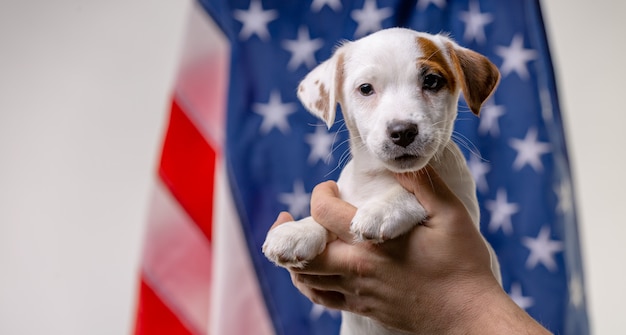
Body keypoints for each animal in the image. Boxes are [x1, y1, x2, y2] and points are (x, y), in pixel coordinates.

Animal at [260, 28, 500, 335]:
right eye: (365, 89)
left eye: (432, 81)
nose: (403, 131)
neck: (381, 177)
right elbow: (323, 219)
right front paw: (298, 231)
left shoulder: (465, 211)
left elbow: (410, 194)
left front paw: (383, 209)